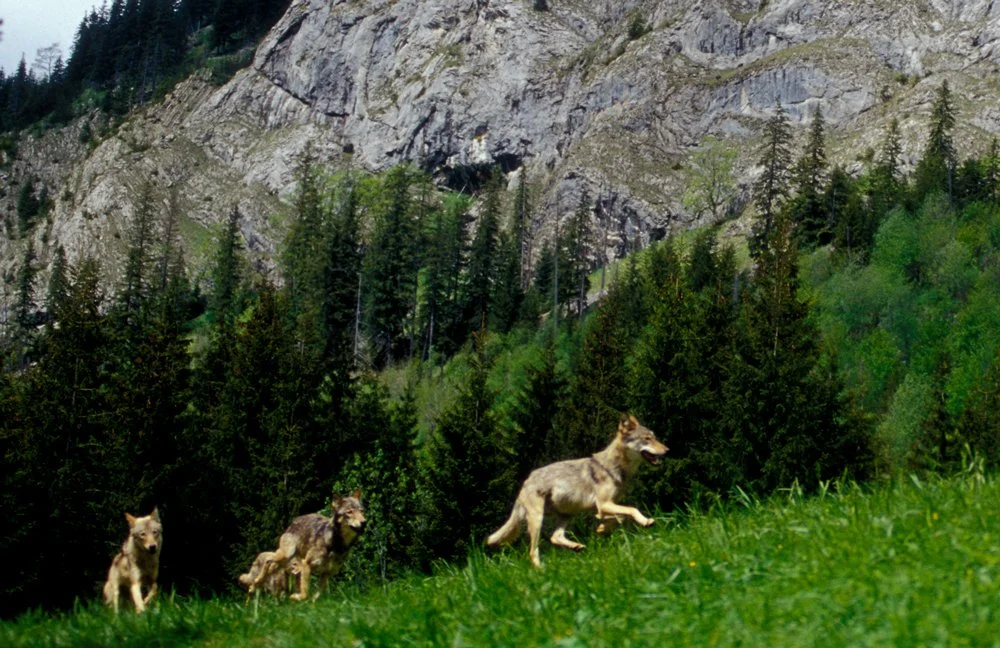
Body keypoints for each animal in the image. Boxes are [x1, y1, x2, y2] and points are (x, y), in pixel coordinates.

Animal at [486, 415, 668, 567]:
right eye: (647, 439)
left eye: (655, 437)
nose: (667, 450)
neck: (615, 467)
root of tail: (525, 482)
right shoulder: (604, 504)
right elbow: (632, 509)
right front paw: (646, 521)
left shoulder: (605, 506)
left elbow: (620, 517)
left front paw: (603, 528)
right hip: (538, 519)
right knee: (533, 551)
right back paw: (541, 571)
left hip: (567, 514)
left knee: (555, 537)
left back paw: (576, 546)